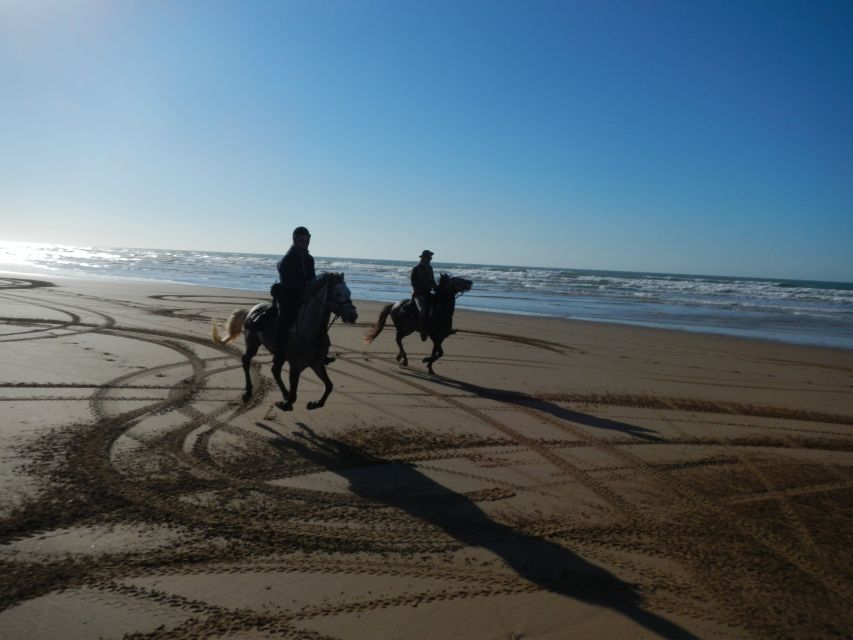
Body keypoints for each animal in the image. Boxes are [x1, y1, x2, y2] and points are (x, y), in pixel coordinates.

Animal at [216, 270, 360, 410]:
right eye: (338, 293)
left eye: (349, 293)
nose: (353, 316)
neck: (310, 332)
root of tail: (250, 311)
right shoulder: (295, 366)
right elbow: (294, 395)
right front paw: (285, 403)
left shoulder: (317, 364)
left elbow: (329, 386)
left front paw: (315, 403)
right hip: (253, 344)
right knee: (246, 361)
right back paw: (248, 392)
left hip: (279, 355)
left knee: (275, 370)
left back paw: (283, 394)